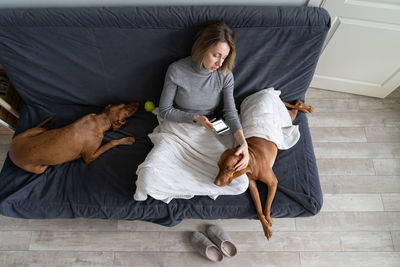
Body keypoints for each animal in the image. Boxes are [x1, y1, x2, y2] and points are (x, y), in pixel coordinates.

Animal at [8, 101, 140, 175]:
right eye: (126, 112)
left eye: (124, 105)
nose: (138, 103)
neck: (99, 120)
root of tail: (11, 149)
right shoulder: (88, 158)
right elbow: (110, 143)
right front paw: (127, 140)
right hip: (38, 169)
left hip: (39, 131)